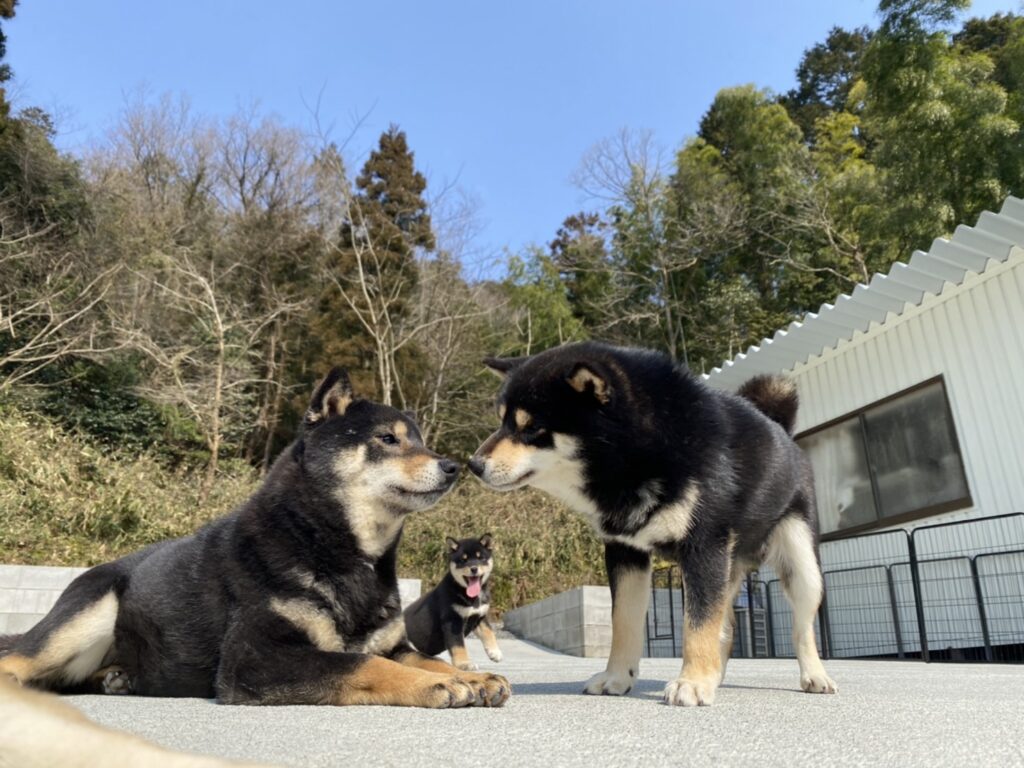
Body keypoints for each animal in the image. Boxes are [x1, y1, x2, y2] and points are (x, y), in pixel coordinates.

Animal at [405, 536, 505, 671]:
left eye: (480, 558)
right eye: (463, 560)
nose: (474, 568)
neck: (473, 598)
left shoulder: (478, 617)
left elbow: (489, 632)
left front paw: (495, 652)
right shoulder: (452, 620)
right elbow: (458, 645)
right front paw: (464, 663)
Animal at [468, 342, 835, 708]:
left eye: (530, 428)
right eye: (502, 422)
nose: (473, 464)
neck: (641, 451)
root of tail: (782, 430)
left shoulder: (703, 545)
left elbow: (697, 623)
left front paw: (693, 682)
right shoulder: (625, 550)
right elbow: (624, 622)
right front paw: (618, 677)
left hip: (802, 565)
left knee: (801, 628)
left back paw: (814, 675)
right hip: (727, 567)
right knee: (726, 625)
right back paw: (715, 675)